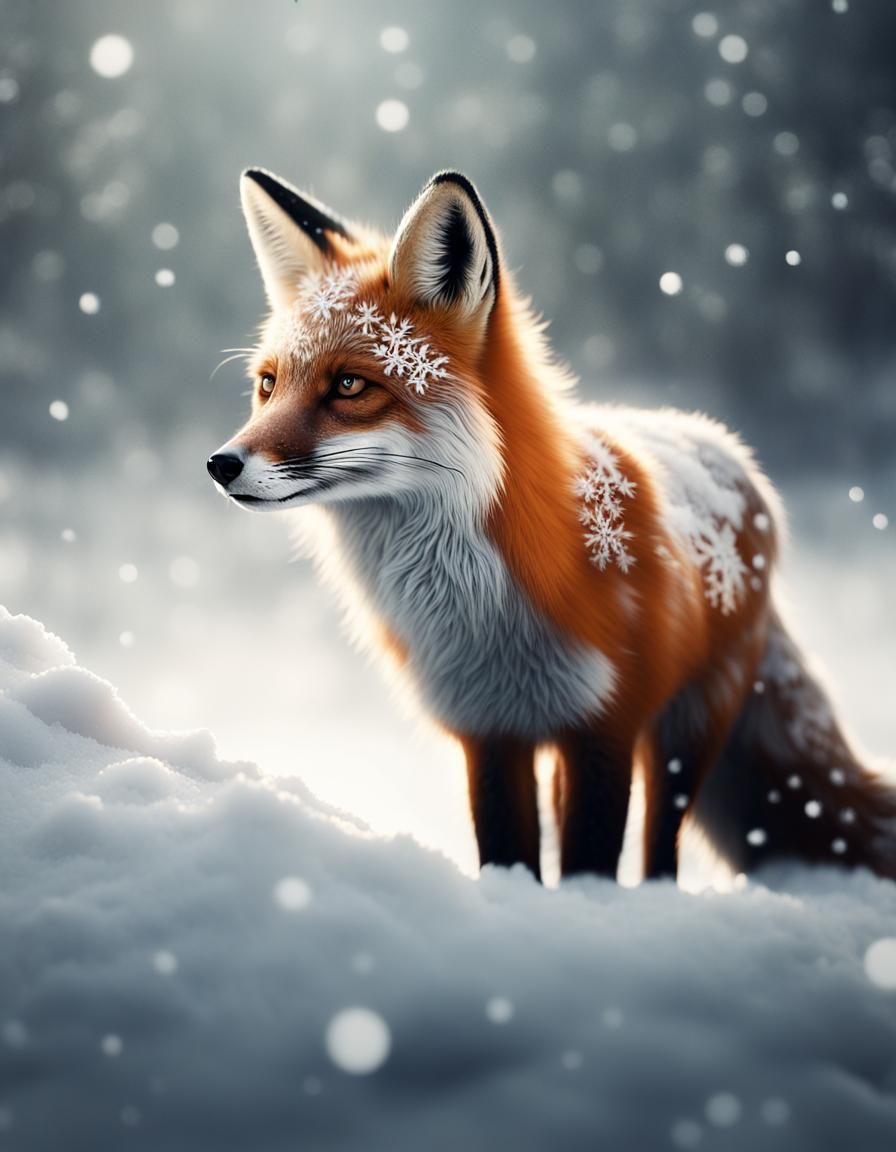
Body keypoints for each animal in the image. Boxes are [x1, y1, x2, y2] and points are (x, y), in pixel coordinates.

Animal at [208, 166, 895, 883]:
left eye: (348, 385)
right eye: (268, 385)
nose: (221, 464)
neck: (483, 614)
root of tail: (727, 450)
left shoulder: (604, 727)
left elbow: (590, 858)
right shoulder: (490, 731)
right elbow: (507, 851)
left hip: (687, 726)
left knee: (663, 846)